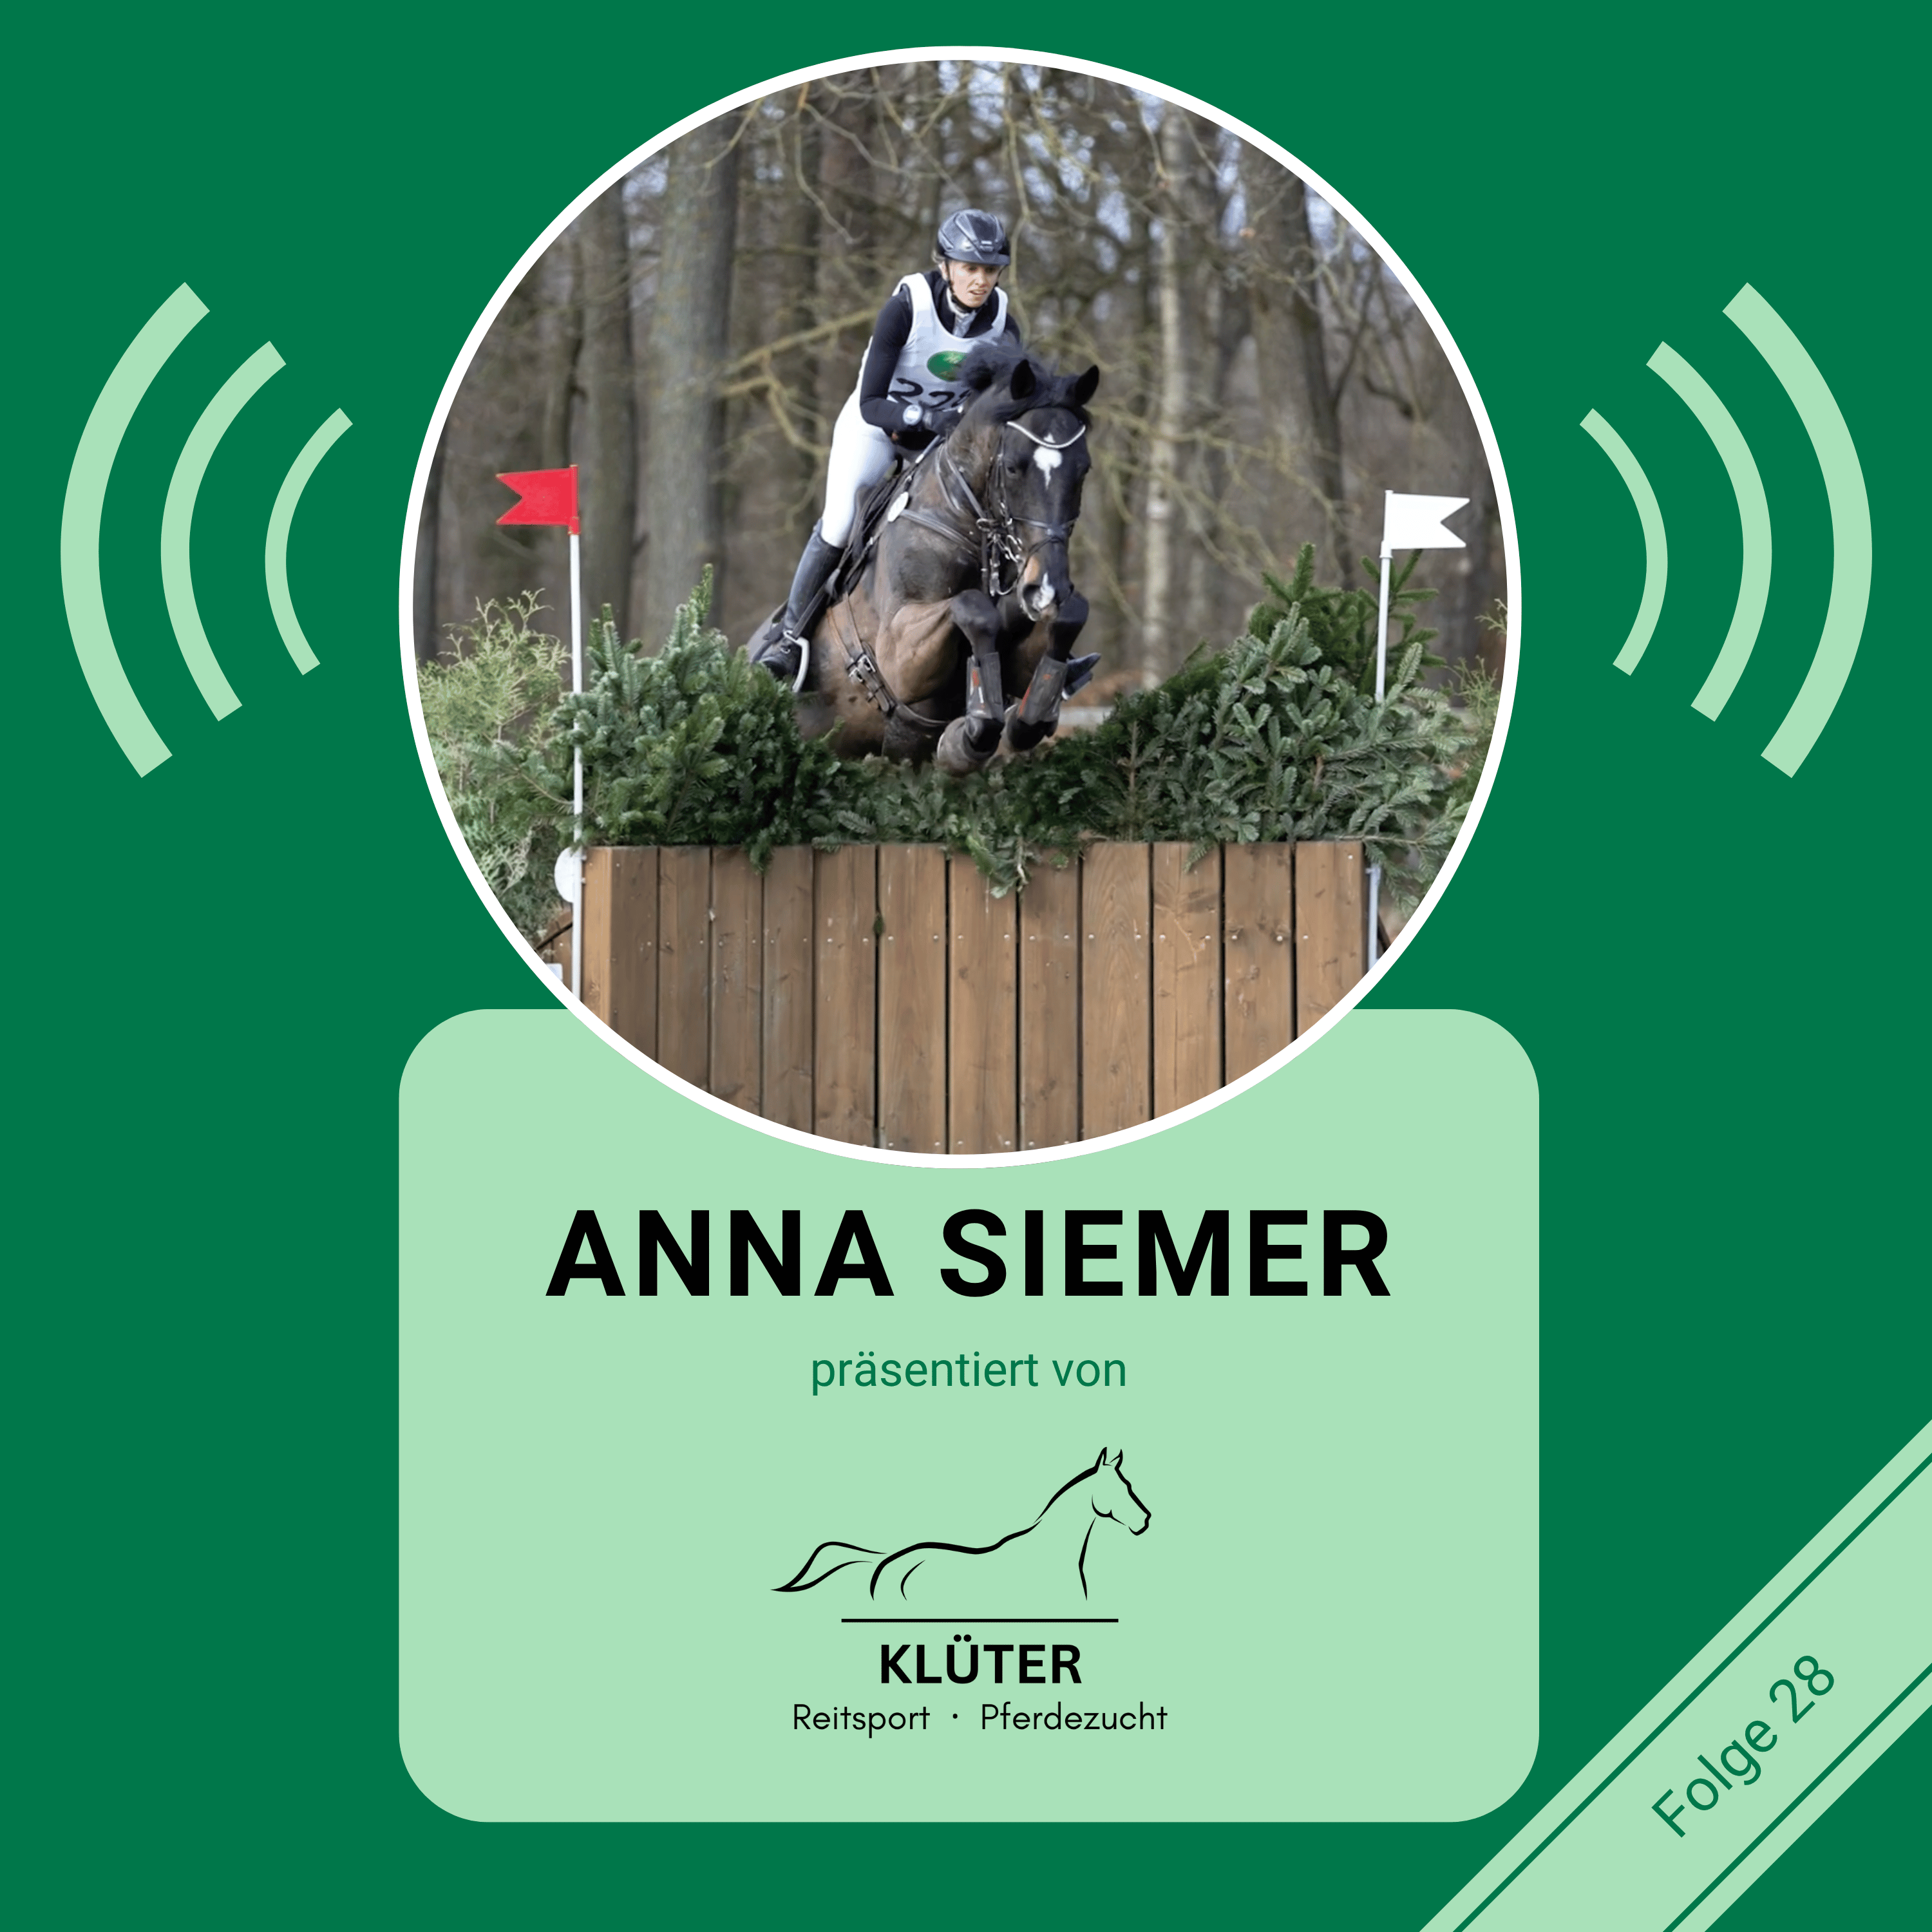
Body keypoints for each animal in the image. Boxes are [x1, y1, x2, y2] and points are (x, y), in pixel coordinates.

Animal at [792, 337, 1100, 774]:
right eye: (1012, 468)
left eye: (1083, 470)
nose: (1045, 590)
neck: (965, 522)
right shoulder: (898, 654)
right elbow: (973, 607)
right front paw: (972, 734)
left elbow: (1067, 616)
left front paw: (1018, 722)